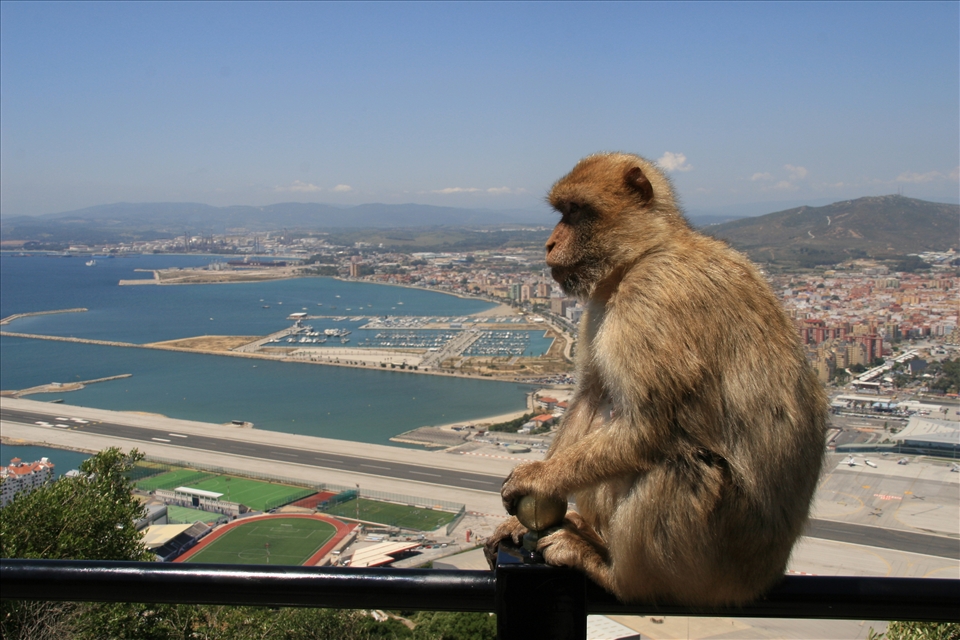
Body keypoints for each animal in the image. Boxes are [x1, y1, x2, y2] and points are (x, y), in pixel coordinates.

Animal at [484, 152, 827, 606]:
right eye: (562, 212)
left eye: (575, 211)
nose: (549, 244)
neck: (644, 252)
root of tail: (762, 580)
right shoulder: (602, 303)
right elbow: (591, 396)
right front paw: (536, 496)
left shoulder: (651, 297)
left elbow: (649, 428)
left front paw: (538, 478)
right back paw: (589, 533)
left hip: (712, 566)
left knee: (679, 462)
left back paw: (613, 574)